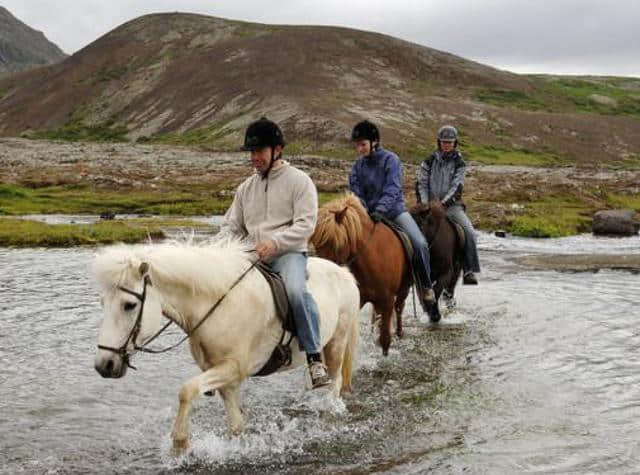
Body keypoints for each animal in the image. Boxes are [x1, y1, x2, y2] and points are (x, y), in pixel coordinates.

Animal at [90, 242, 360, 454]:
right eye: (103, 302)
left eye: (129, 305)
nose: (104, 365)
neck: (219, 305)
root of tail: (344, 273)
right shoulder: (225, 378)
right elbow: (236, 424)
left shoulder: (233, 368)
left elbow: (187, 390)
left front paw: (180, 443)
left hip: (336, 343)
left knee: (334, 384)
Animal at [312, 194, 412, 356]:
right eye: (316, 245)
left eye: (334, 244)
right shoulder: (359, 299)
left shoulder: (388, 300)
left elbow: (385, 339)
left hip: (404, 290)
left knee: (399, 308)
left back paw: (399, 333)